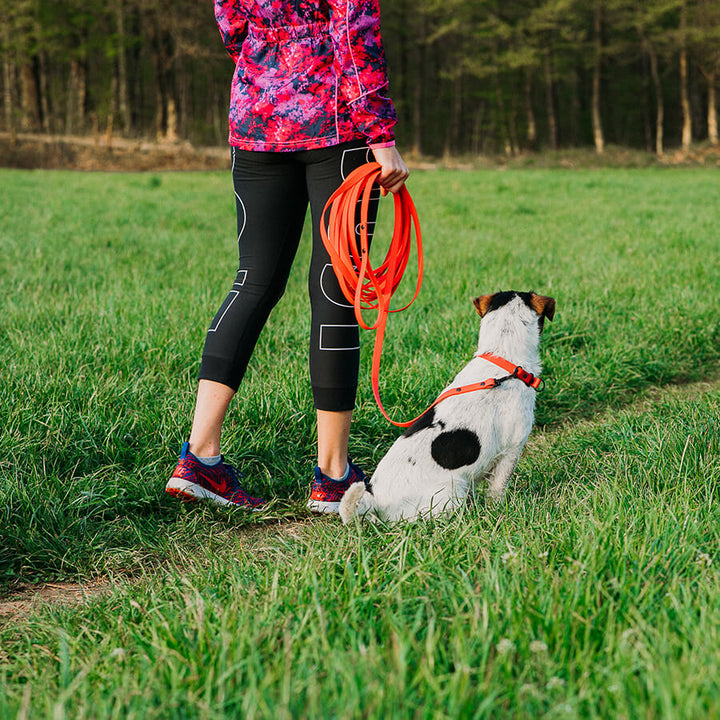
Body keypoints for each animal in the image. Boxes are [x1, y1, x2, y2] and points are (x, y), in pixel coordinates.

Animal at [338, 292, 556, 524]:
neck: (502, 357)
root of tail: (375, 499)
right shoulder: (511, 451)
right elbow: (497, 492)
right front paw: (498, 511)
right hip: (452, 491)